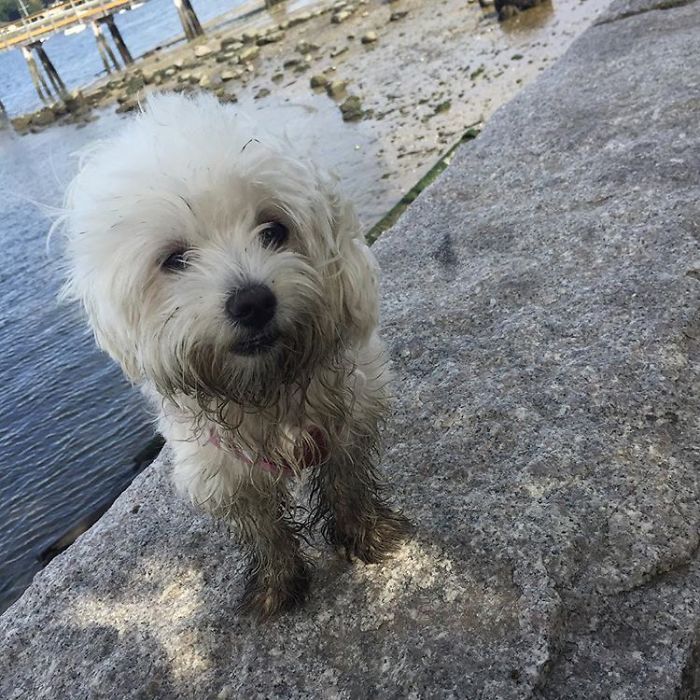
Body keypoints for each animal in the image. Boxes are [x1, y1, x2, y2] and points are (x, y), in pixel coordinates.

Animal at [63, 94, 410, 616]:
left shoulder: (351, 414)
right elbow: (263, 529)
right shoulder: (220, 470)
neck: (265, 389)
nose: (252, 302)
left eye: (274, 230)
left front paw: (366, 534)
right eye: (175, 259)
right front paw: (276, 582)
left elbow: (347, 483)